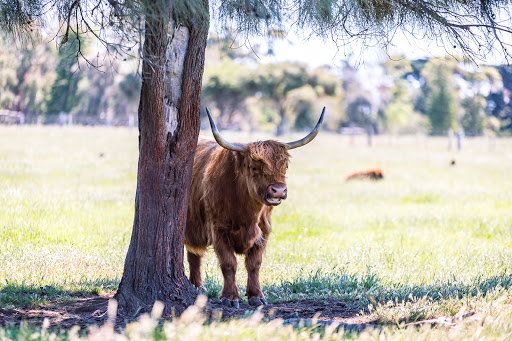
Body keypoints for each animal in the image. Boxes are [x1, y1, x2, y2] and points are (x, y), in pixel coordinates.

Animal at [186, 107, 326, 306]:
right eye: (254, 168)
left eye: (285, 167)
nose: (278, 190)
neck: (247, 214)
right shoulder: (218, 229)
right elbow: (229, 264)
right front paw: (230, 297)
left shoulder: (263, 230)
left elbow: (254, 264)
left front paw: (256, 296)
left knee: (193, 255)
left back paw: (198, 287)